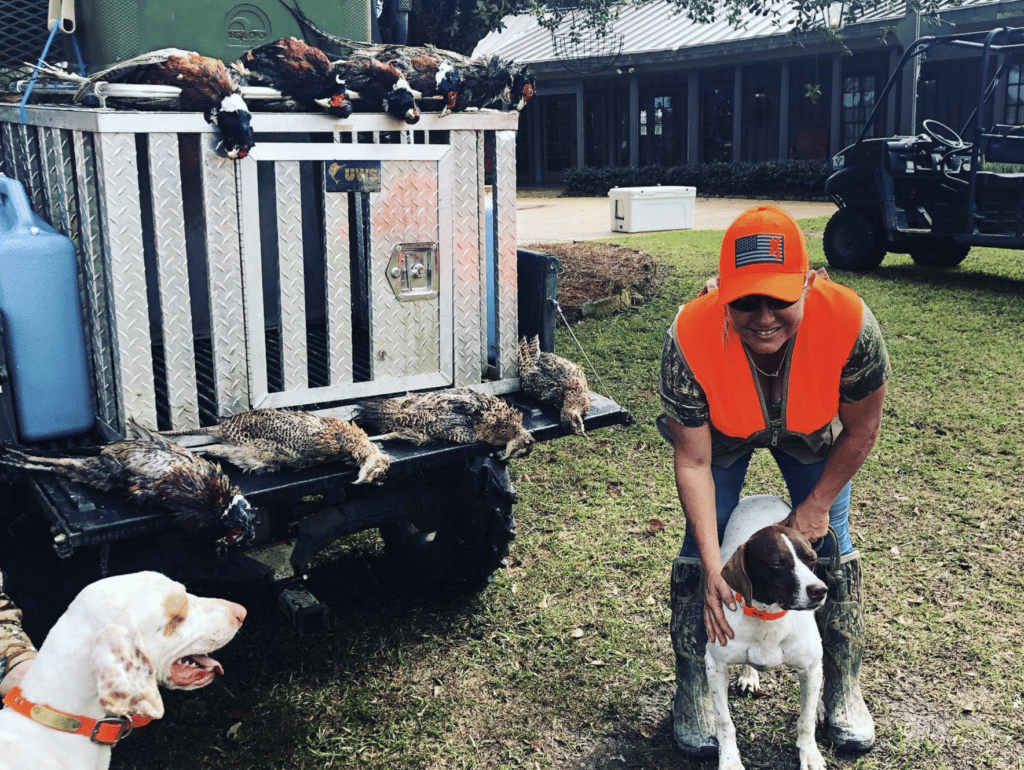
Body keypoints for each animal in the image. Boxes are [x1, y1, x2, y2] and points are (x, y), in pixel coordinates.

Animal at [708, 495, 827, 765]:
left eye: (812, 559)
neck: (768, 617)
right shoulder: (714, 665)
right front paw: (729, 760)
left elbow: (806, 720)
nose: (819, 590)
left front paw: (810, 755)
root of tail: (762, 497)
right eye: (777, 564)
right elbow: (724, 722)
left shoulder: (811, 668)